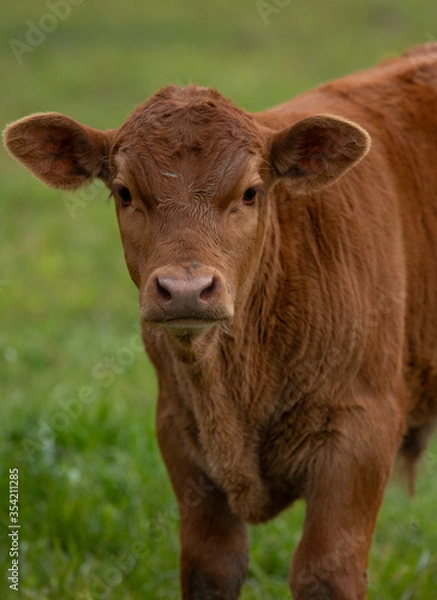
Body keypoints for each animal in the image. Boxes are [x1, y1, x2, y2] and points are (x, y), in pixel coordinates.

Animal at [4, 44, 436, 596]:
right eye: (124, 192)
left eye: (251, 192)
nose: (186, 289)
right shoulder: (179, 432)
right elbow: (211, 563)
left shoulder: (362, 431)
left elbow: (324, 571)